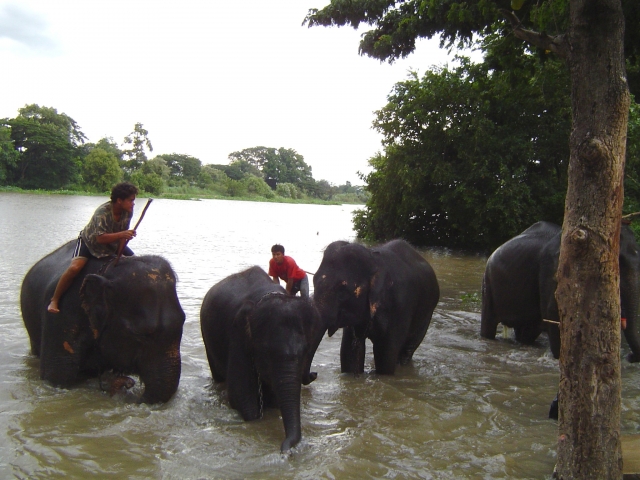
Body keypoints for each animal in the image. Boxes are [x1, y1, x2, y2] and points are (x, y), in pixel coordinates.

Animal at [20, 239, 185, 402]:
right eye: (139, 334)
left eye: (183, 321)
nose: (128, 384)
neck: (108, 271)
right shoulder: (61, 316)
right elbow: (56, 376)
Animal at [312, 240, 440, 376]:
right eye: (313, 280)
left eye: (342, 291)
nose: (314, 374)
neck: (373, 259)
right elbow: (350, 352)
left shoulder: (400, 306)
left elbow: (386, 355)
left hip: (427, 313)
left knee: (407, 350)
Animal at [480, 219, 640, 362]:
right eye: (618, 264)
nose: (630, 356)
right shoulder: (553, 270)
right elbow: (554, 312)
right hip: (488, 284)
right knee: (489, 325)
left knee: (528, 330)